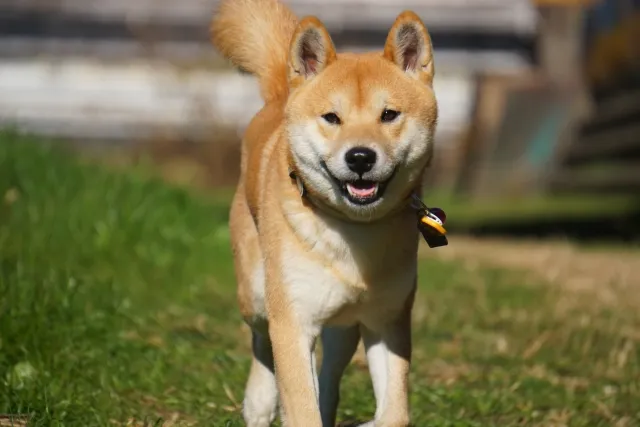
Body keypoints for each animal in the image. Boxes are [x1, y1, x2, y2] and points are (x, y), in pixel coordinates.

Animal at [211, 1, 440, 426]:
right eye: (332, 117)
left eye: (389, 114)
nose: (361, 157)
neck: (353, 231)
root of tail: (281, 96)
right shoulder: (293, 321)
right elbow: (300, 404)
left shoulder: (387, 320)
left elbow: (394, 412)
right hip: (258, 293)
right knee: (262, 342)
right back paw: (259, 402)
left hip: (345, 323)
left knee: (330, 370)